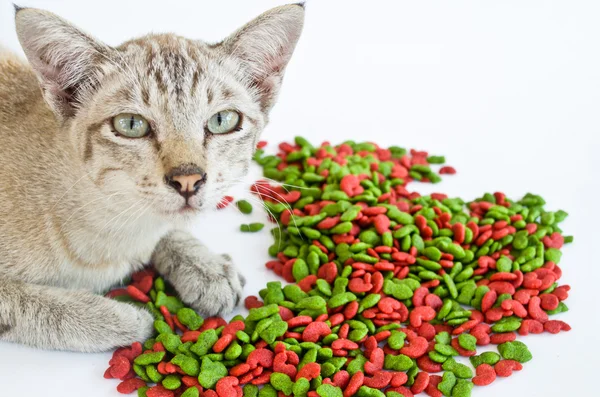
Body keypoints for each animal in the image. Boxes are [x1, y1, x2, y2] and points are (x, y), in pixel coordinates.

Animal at [0, 2, 302, 350]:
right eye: (131, 125)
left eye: (223, 120)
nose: (188, 180)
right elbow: (33, 306)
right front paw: (120, 318)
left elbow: (170, 230)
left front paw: (206, 268)